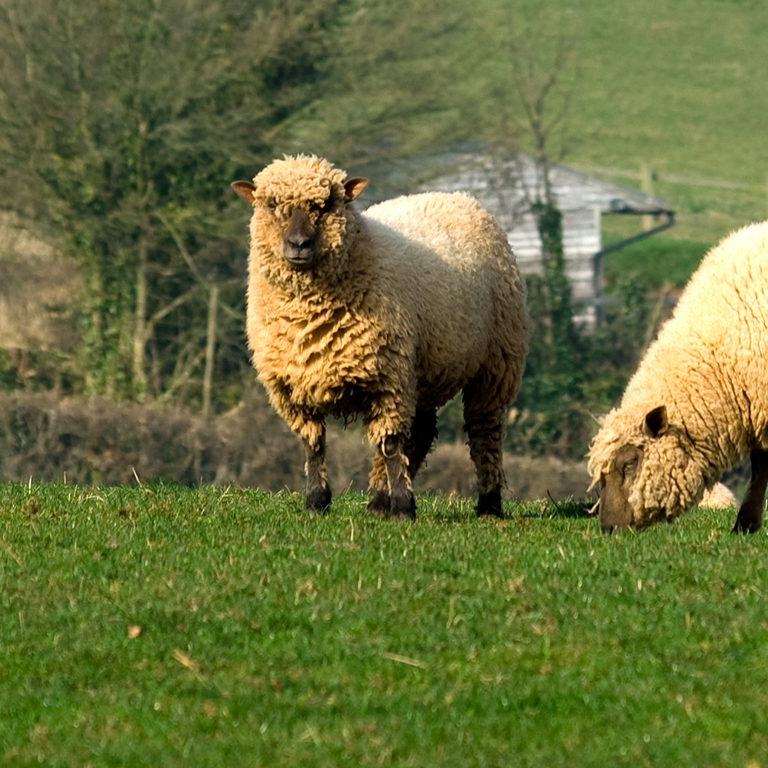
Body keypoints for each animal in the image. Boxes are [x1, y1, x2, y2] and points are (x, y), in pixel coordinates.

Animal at [232, 153, 528, 520]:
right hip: (424, 368)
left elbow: (389, 444)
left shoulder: (389, 377)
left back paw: (488, 504)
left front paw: (403, 507)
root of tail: (457, 196)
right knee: (422, 431)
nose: (298, 245)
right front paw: (316, 501)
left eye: (327, 204)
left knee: (483, 431)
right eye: (271, 204)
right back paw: (377, 501)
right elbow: (313, 445)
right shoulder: (293, 385)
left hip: (495, 362)